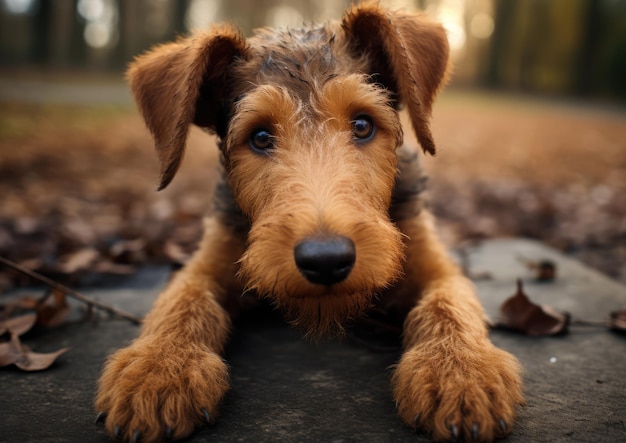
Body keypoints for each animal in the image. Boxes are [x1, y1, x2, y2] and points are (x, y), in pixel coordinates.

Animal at [92, 1, 520, 442]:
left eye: (362, 124)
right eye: (260, 136)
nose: (326, 260)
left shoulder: (433, 263)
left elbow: (449, 304)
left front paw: (461, 373)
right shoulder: (209, 261)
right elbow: (181, 300)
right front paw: (158, 369)